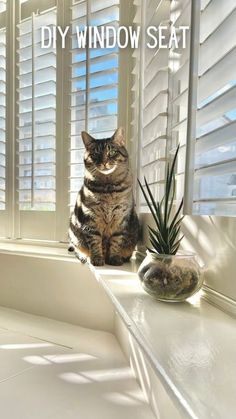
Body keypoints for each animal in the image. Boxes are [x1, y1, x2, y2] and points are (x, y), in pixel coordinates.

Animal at [67, 126, 139, 268]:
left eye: (112, 152)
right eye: (95, 154)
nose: (104, 162)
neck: (108, 187)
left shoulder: (121, 219)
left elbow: (116, 241)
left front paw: (114, 258)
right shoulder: (90, 219)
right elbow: (95, 242)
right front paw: (97, 259)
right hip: (74, 233)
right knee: (78, 250)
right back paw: (84, 257)